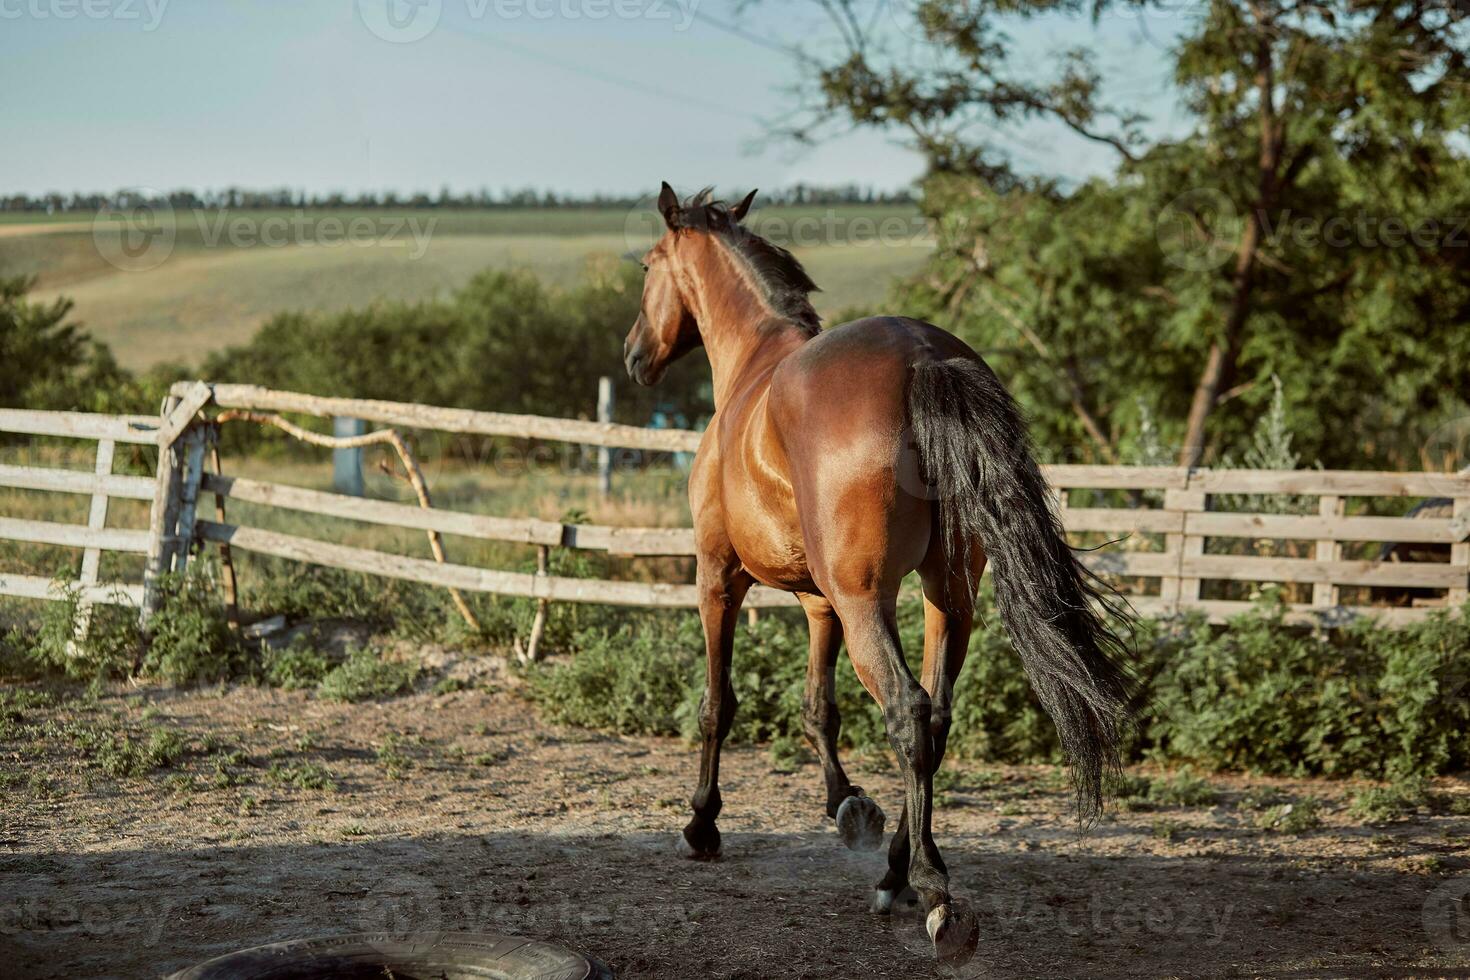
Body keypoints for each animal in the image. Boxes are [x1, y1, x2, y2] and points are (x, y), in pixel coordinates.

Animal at [620, 183, 1134, 963]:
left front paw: (702, 824)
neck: (755, 367)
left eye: (649, 265)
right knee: (937, 719)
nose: (634, 355)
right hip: (947, 599)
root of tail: (924, 358)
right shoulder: (819, 602)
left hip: (870, 602)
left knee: (908, 712)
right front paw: (846, 804)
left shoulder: (718, 578)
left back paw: (931, 892)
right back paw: (899, 872)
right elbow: (819, 705)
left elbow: (717, 704)